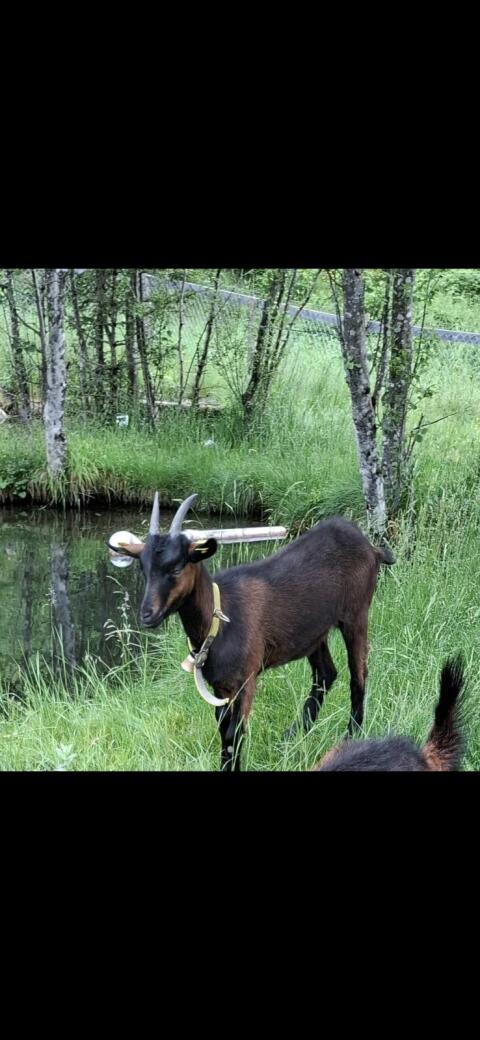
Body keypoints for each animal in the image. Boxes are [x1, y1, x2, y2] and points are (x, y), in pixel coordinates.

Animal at [109, 492, 394, 771]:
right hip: (314, 633)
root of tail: (370, 547)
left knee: (358, 673)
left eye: (177, 568)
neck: (219, 620)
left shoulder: (245, 681)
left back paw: (351, 735)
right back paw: (292, 735)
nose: (147, 614)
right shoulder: (220, 687)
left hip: (356, 614)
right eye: (143, 569)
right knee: (325, 674)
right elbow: (223, 731)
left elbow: (234, 734)